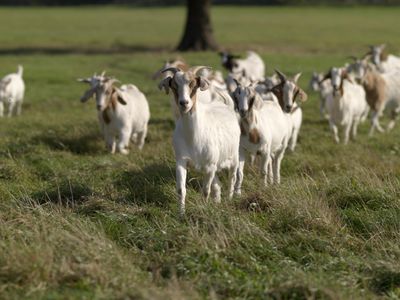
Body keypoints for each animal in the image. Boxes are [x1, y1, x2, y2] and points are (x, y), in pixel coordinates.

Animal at [159, 66, 241, 214]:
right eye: (174, 85)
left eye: (193, 84)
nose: (184, 103)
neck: (193, 137)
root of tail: (224, 104)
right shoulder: (182, 161)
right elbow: (181, 190)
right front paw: (181, 213)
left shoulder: (209, 166)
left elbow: (205, 191)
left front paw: (203, 209)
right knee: (217, 184)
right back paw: (217, 201)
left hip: (233, 157)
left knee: (232, 178)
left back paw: (229, 199)